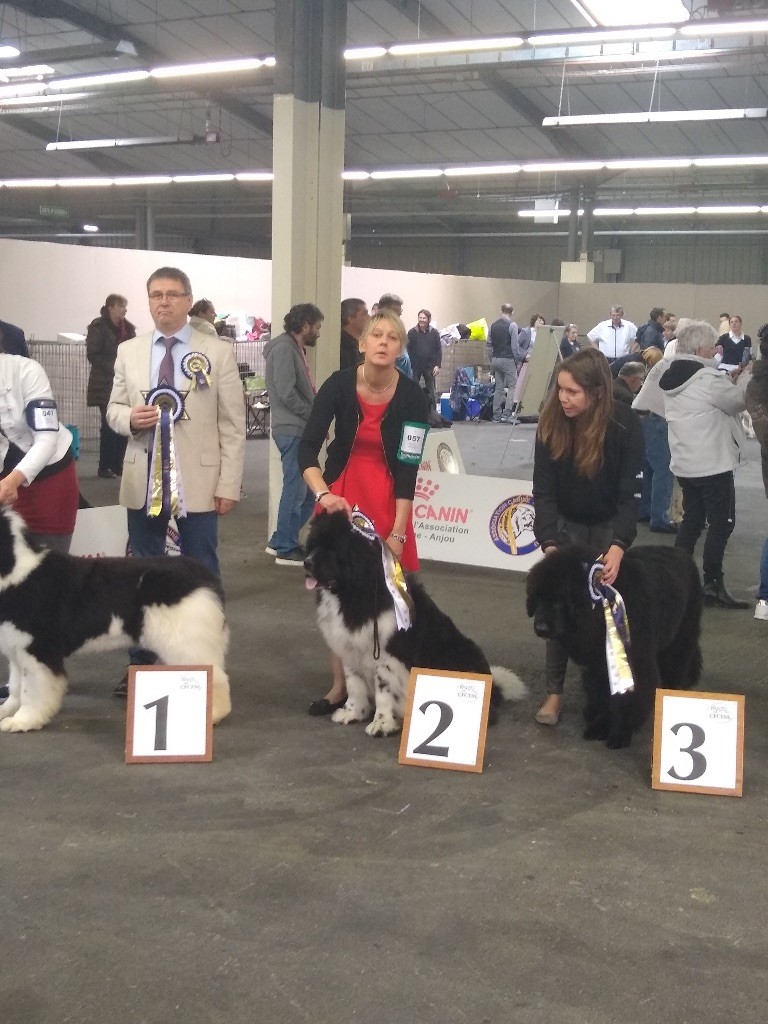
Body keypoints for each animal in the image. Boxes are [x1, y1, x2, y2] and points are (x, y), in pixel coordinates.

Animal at [0, 506, 231, 733]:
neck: (13, 572)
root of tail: (204, 577)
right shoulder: (16, 647)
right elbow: (16, 685)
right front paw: (7, 710)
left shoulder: (37, 650)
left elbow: (32, 690)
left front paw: (24, 720)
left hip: (184, 643)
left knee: (215, 677)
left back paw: (213, 715)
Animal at [303, 510, 526, 736]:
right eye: (314, 545)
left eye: (333, 549)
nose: (307, 562)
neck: (353, 591)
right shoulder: (349, 647)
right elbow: (354, 684)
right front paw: (352, 712)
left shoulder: (386, 656)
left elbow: (383, 690)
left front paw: (381, 724)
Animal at [526, 544, 702, 749]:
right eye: (537, 598)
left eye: (558, 601)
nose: (540, 629)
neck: (597, 613)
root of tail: (682, 552)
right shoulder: (597, 665)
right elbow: (602, 695)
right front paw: (599, 726)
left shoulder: (633, 663)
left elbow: (625, 699)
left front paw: (620, 734)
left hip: (680, 638)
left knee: (677, 665)